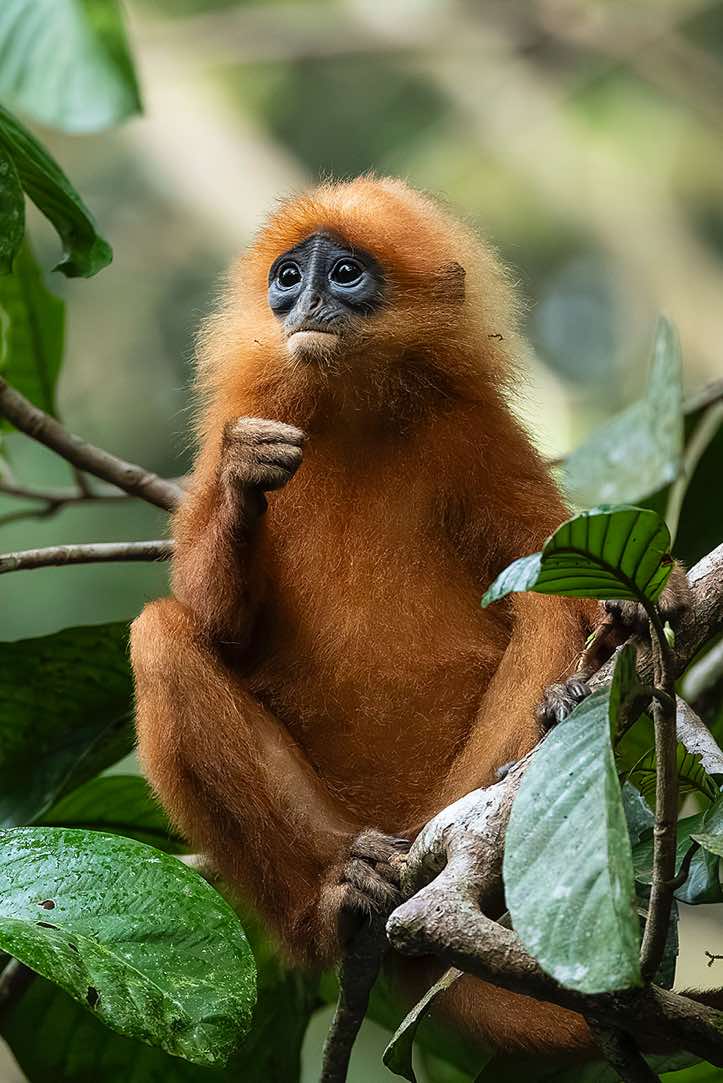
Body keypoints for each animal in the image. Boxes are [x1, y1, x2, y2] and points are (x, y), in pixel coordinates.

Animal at [130, 177, 681, 1055]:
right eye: (288, 277)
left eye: (346, 273)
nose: (307, 302)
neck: (349, 407)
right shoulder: (236, 421)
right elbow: (220, 626)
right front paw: (248, 479)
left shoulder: (473, 428)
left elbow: (558, 567)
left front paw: (643, 603)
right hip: (331, 822)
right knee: (159, 634)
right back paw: (337, 902)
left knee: (539, 609)